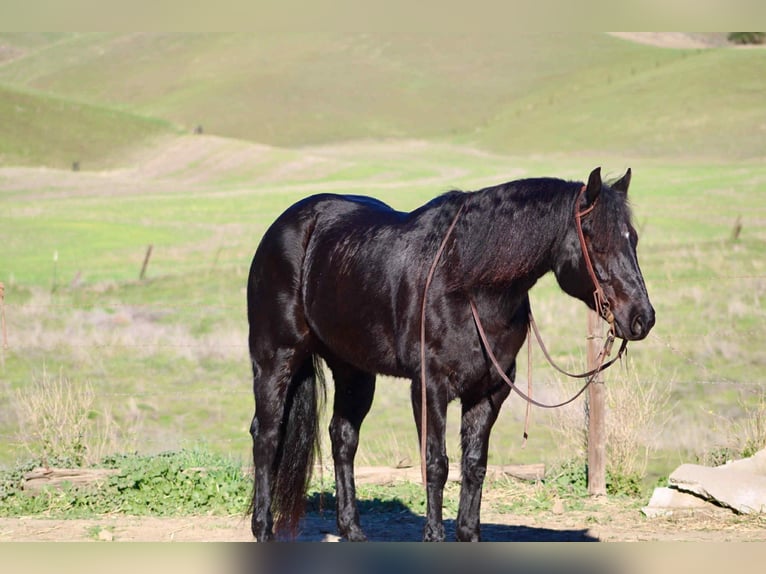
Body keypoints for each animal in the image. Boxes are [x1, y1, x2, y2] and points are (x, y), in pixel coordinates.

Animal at [246, 166, 655, 541]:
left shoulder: (490, 391)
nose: (642, 318)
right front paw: (434, 536)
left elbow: (474, 464)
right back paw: (263, 528)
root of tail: (285, 227)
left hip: (353, 370)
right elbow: (436, 463)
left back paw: (353, 531)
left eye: (633, 239)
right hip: (275, 359)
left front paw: (468, 533)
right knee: (267, 436)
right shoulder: (430, 386)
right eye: (596, 243)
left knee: (343, 438)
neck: (467, 282)